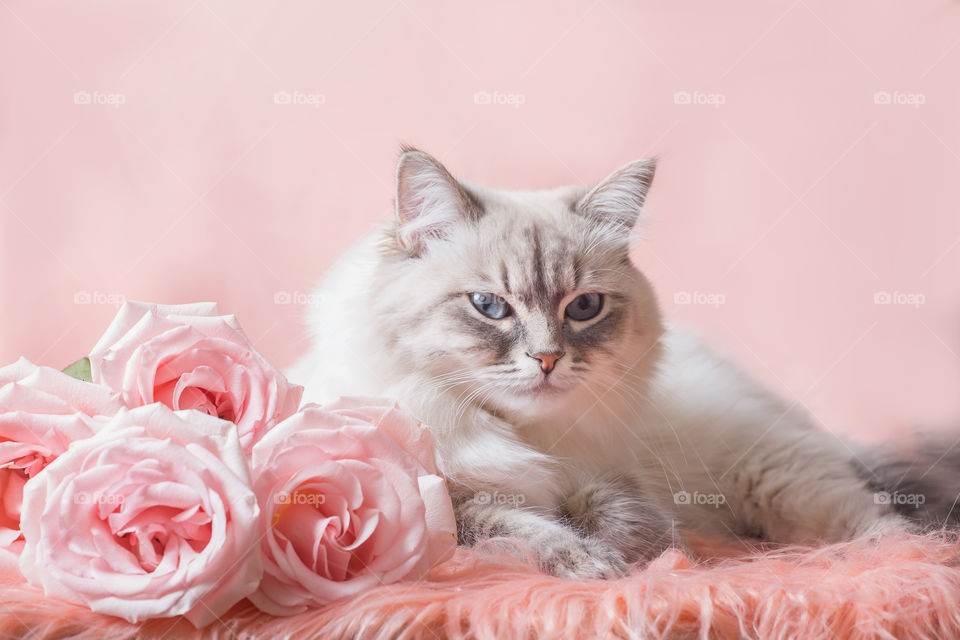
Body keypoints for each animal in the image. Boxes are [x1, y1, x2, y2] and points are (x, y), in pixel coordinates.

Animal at [288, 149, 932, 580]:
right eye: (490, 307)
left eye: (584, 308)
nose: (547, 358)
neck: (526, 438)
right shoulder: (443, 506)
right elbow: (519, 528)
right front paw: (591, 563)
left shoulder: (615, 476)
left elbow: (623, 518)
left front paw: (628, 558)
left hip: (776, 478)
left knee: (881, 523)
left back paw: (889, 560)